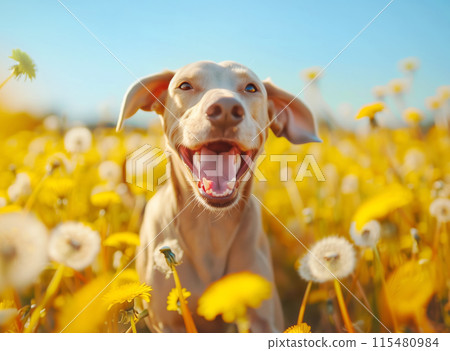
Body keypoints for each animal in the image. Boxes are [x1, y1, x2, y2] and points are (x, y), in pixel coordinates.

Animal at [117, 60, 320, 332]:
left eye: (251, 88)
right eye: (185, 85)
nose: (225, 108)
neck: (210, 227)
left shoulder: (263, 320)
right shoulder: (168, 323)